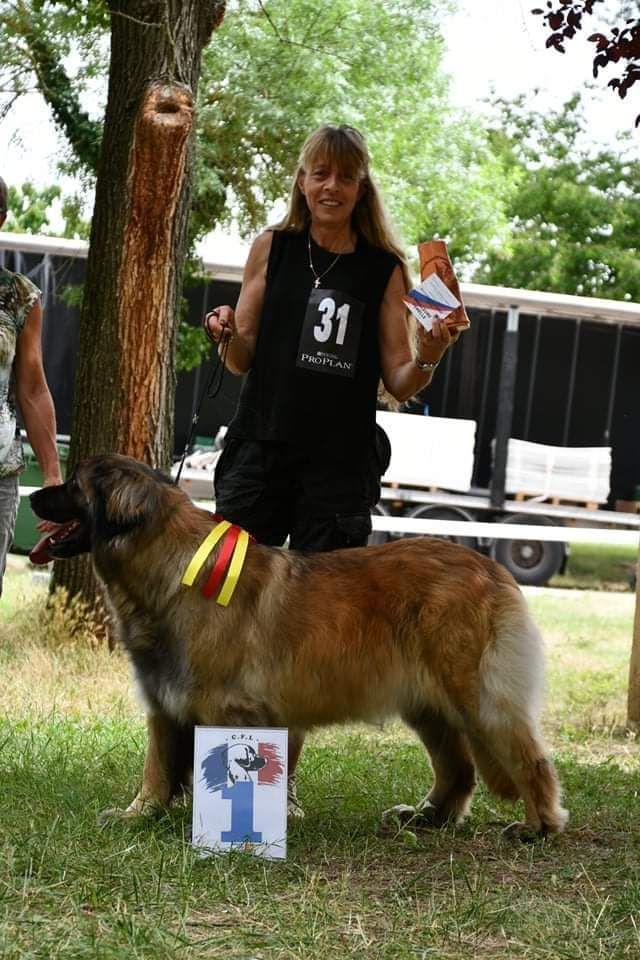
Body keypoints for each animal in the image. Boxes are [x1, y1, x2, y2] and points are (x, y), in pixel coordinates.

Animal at [31, 454, 568, 836]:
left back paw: (538, 825)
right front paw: (139, 814)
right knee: (458, 769)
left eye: (73, 485)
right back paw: (427, 818)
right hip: (428, 704)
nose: (35, 494)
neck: (170, 564)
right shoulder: (165, 700)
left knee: (527, 758)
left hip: (476, 696)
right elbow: (157, 767)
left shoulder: (223, 706)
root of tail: (491, 568)